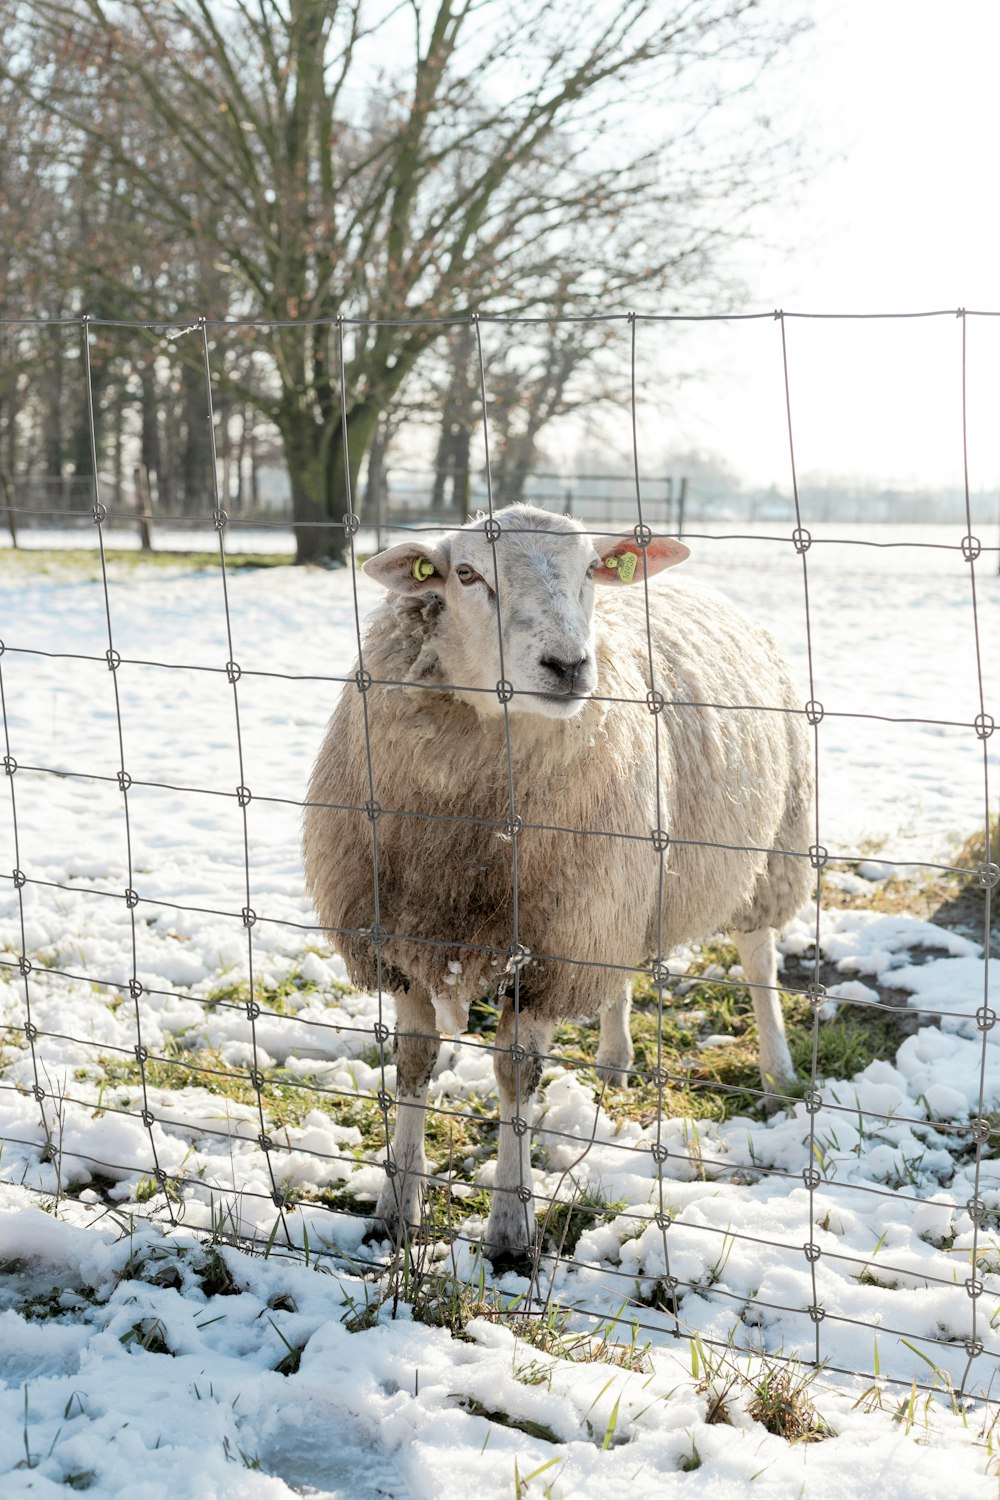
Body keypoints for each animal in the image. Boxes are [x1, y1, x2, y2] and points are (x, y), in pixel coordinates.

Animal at [302, 504, 815, 1254]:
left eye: (591, 569)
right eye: (465, 573)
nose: (569, 666)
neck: (472, 833)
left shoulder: (550, 948)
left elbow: (516, 1075)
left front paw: (511, 1230)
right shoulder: (402, 939)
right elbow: (414, 1064)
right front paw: (396, 1209)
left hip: (768, 847)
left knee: (757, 957)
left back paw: (777, 1072)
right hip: (621, 887)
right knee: (623, 972)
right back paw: (614, 1058)